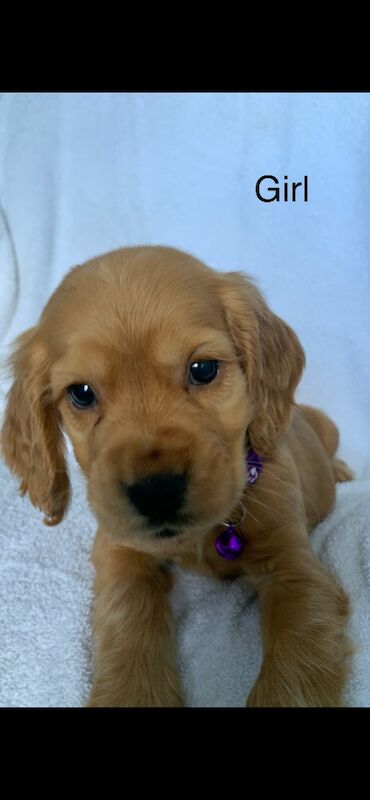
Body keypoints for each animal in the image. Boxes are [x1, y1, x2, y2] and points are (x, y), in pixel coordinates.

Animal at [0, 245, 352, 708]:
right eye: (81, 393)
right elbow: (129, 619)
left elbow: (293, 669)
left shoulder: (295, 568)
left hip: (327, 425)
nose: (157, 493)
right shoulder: (120, 550)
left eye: (202, 368)